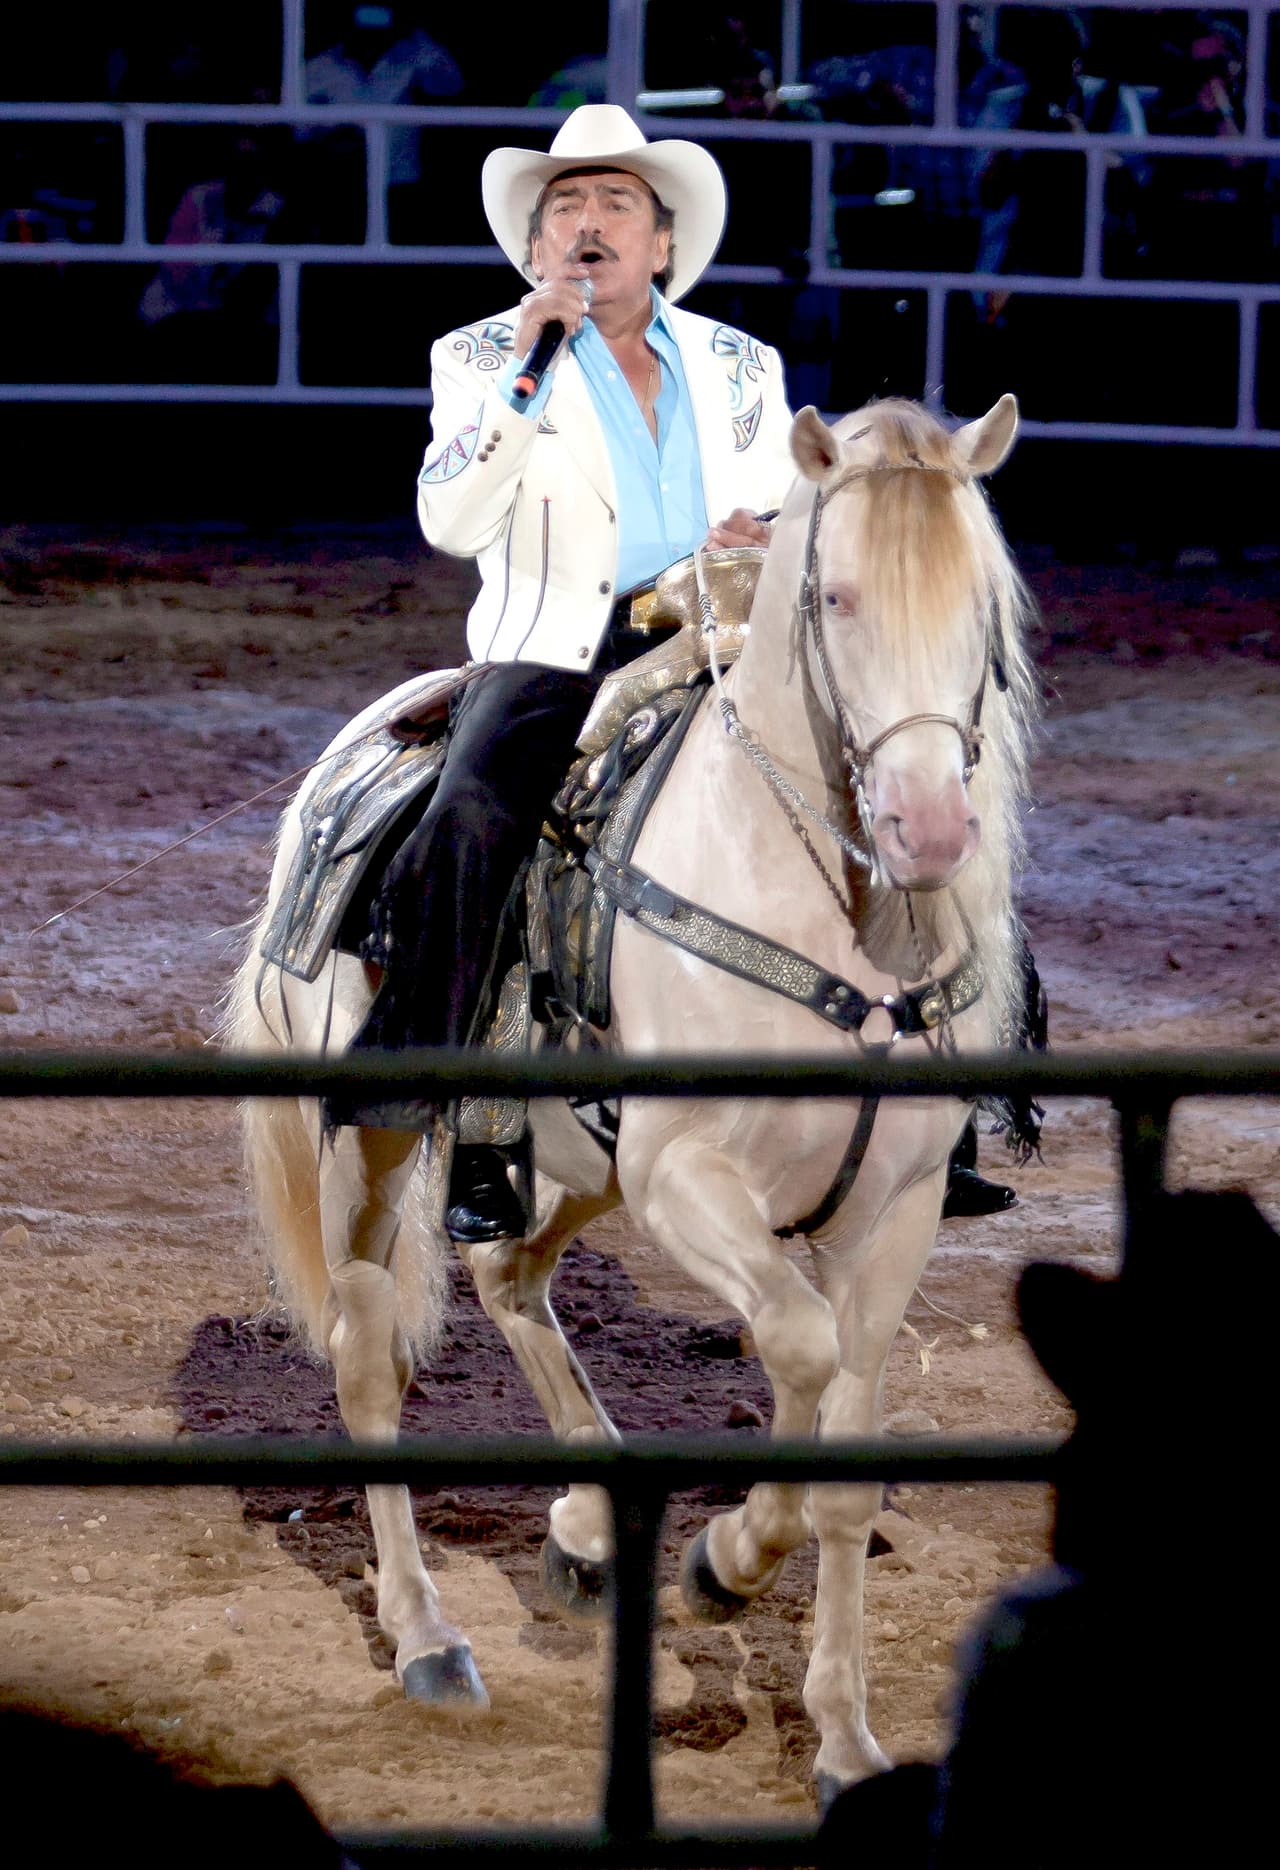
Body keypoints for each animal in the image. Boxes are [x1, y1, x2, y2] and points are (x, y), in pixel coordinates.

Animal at [224, 393, 1039, 1799]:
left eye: (979, 607)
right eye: (832, 597)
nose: (930, 830)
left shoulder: (894, 1212)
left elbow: (843, 1450)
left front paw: (844, 1742)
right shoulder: (685, 1177)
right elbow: (797, 1347)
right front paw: (721, 1563)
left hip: (574, 1163)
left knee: (508, 1273)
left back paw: (586, 1530)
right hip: (379, 1151)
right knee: (369, 1358)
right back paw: (428, 1637)